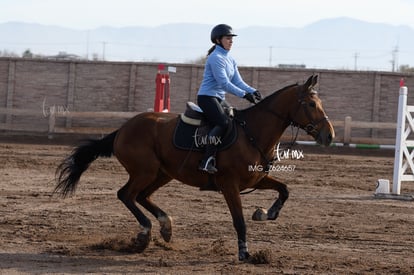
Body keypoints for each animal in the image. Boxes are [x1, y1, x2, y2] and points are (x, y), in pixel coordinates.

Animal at [55, 74, 334, 262]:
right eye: (311, 104)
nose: (329, 135)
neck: (252, 133)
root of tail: (123, 128)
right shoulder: (229, 186)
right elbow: (239, 221)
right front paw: (245, 253)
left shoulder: (255, 180)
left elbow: (284, 190)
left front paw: (265, 213)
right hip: (145, 171)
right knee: (126, 194)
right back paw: (145, 233)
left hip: (163, 174)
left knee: (141, 196)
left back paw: (165, 226)